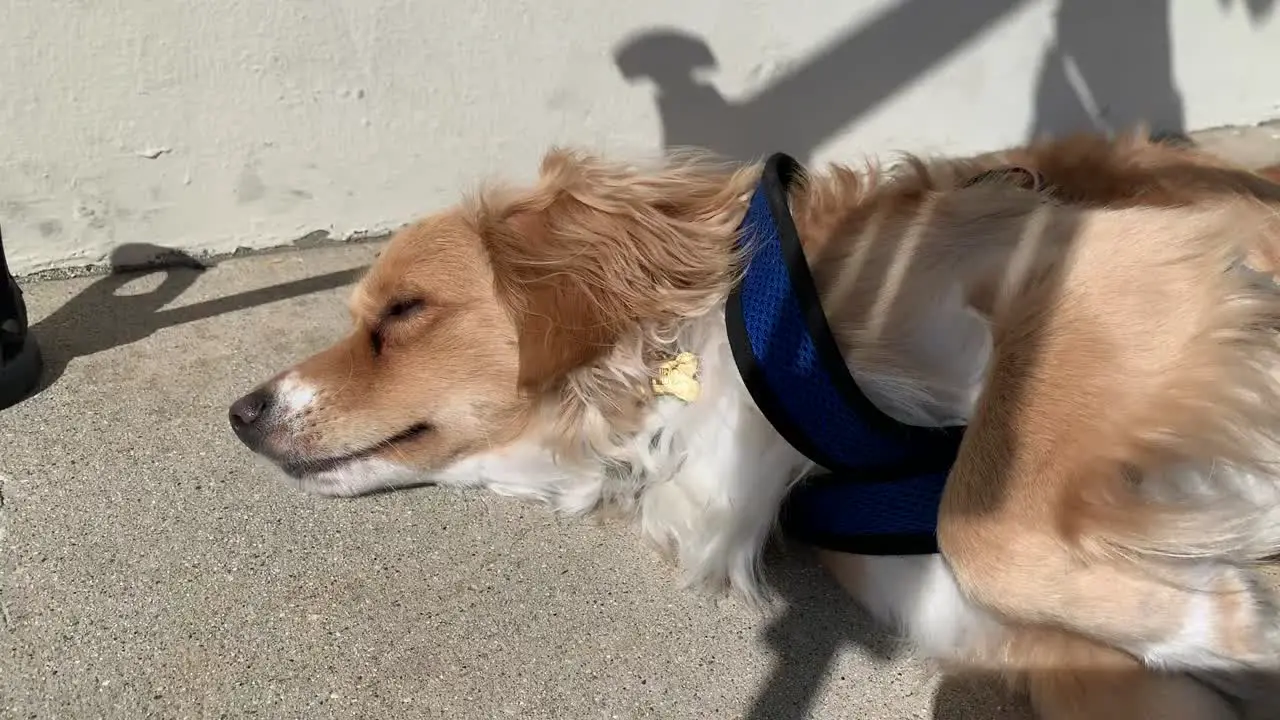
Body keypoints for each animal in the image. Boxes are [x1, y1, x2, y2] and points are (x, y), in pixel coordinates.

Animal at [232, 130, 1280, 717]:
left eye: (404, 311)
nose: (240, 413)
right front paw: (1236, 608)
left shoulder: (1106, 263)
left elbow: (984, 524)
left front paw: (1242, 595)